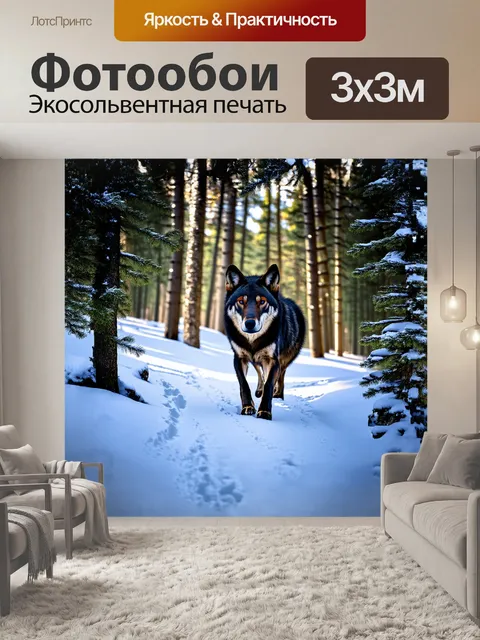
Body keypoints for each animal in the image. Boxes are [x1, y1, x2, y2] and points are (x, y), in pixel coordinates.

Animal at [224, 263, 306, 420]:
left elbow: (269, 384)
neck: (252, 341)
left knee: (280, 375)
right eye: (241, 301)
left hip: (283, 360)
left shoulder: (272, 360)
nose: (250, 323)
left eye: (262, 302)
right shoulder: (239, 358)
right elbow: (244, 384)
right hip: (255, 359)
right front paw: (248, 407)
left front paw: (265, 412)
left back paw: (278, 394)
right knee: (260, 372)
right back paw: (258, 391)